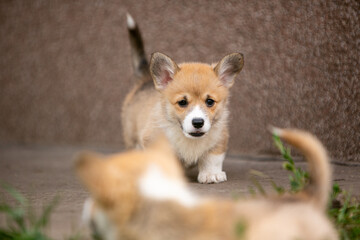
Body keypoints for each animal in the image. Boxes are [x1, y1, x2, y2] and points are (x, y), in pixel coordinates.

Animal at [121, 13, 245, 184]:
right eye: (182, 102)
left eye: (210, 101)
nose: (198, 122)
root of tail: (146, 79)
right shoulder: (152, 141)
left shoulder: (220, 138)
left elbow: (211, 159)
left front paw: (211, 174)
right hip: (131, 135)